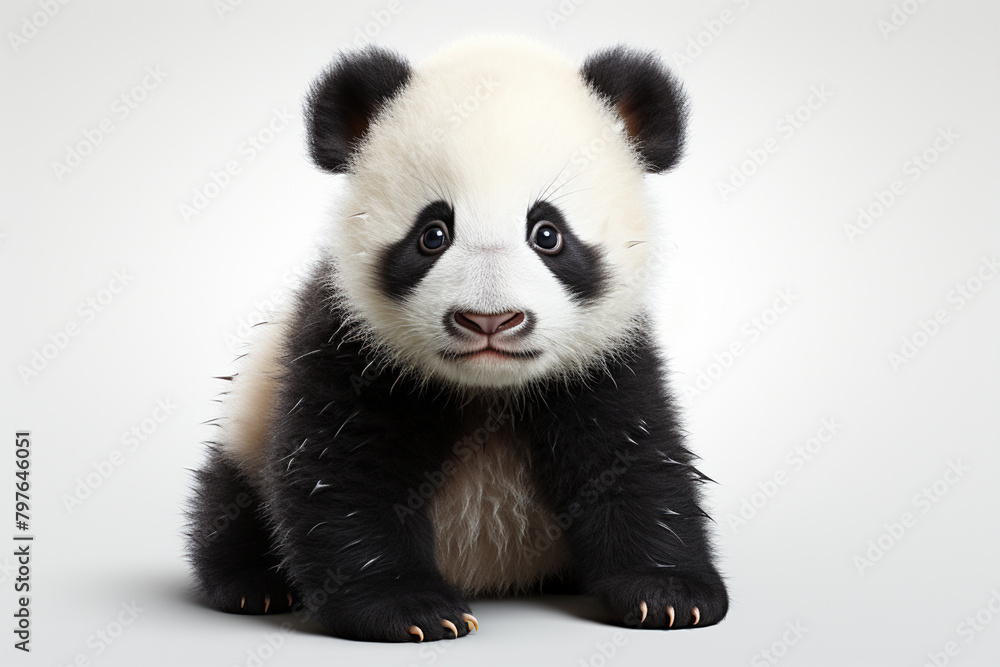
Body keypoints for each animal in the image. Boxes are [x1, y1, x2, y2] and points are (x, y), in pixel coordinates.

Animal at [187, 35, 728, 643]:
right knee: (228, 500)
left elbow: (635, 459)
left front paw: (669, 594)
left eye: (548, 234)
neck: (488, 387)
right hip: (245, 427)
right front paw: (407, 607)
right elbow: (342, 475)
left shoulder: (605, 359)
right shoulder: (346, 346)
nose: (489, 321)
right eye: (433, 234)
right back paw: (254, 587)